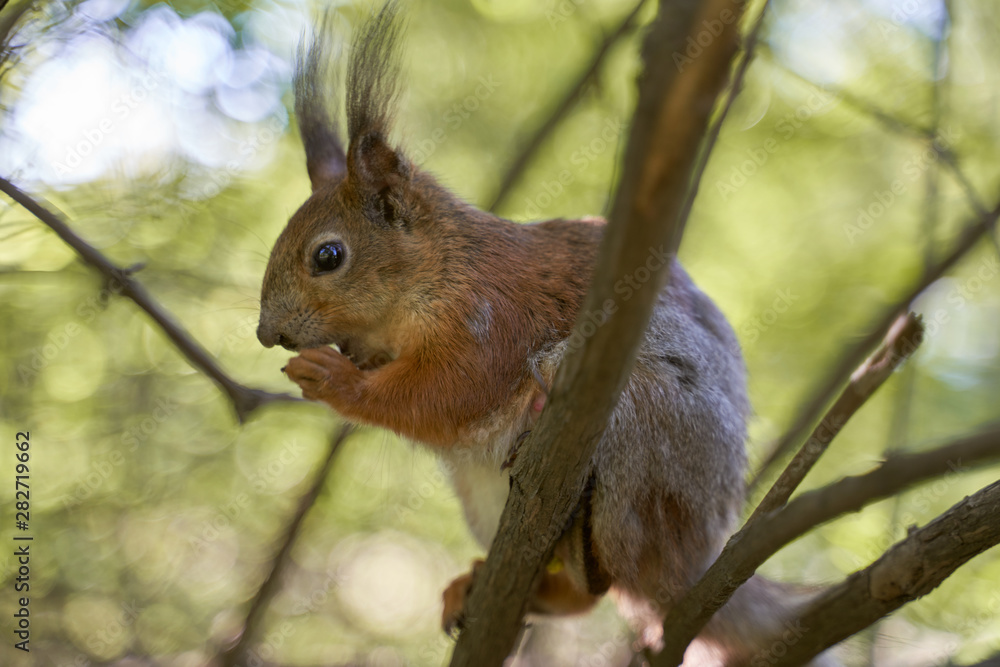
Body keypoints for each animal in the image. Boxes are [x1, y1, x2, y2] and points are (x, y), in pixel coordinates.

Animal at [254, 2, 832, 664]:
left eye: (328, 256)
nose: (266, 333)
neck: (444, 267)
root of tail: (697, 560)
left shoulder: (492, 321)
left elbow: (447, 393)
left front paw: (334, 379)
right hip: (480, 491)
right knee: (585, 596)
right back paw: (483, 586)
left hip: (648, 429)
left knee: (617, 569)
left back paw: (582, 537)